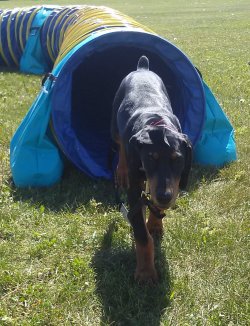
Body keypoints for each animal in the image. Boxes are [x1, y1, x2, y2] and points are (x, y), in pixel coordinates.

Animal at [110, 56, 192, 282]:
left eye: (177, 159)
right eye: (150, 158)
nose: (165, 197)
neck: (157, 123)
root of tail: (142, 68)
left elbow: (154, 204)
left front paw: (155, 224)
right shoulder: (135, 189)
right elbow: (141, 234)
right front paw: (146, 273)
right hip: (114, 124)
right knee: (120, 144)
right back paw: (121, 171)